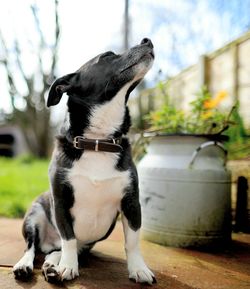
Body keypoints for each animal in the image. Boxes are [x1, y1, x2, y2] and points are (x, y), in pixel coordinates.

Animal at [13, 36, 156, 284]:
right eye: (107, 56)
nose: (147, 40)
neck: (97, 141)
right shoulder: (61, 201)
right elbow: (68, 238)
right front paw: (68, 267)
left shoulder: (131, 202)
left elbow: (132, 241)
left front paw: (139, 269)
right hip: (34, 215)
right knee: (32, 247)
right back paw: (28, 265)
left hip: (80, 243)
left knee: (54, 251)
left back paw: (51, 266)